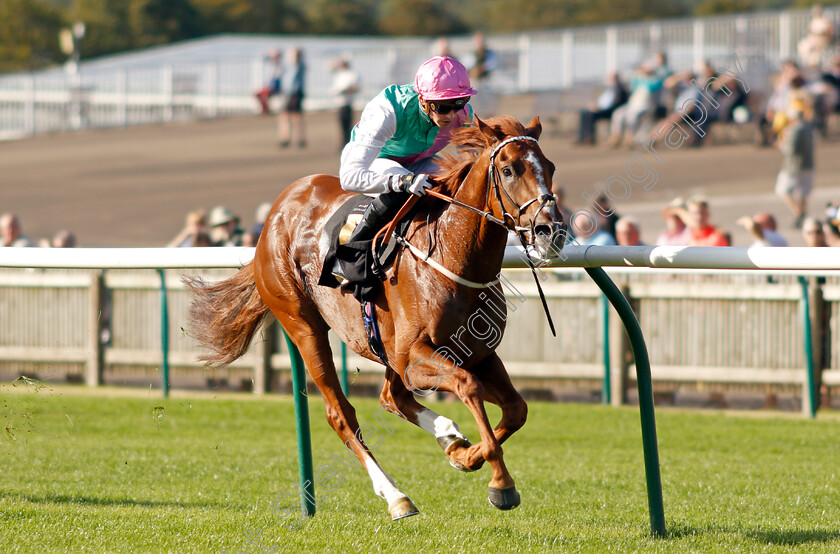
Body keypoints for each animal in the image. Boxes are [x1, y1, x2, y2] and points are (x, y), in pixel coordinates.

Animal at [184, 114, 564, 520]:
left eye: (551, 167)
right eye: (508, 170)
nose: (551, 231)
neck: (452, 254)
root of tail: (279, 208)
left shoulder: (477, 353)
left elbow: (516, 408)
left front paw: (463, 453)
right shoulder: (415, 356)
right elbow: (469, 387)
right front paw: (500, 483)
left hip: (385, 347)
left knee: (391, 397)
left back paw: (448, 434)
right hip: (303, 324)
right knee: (342, 414)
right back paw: (397, 496)